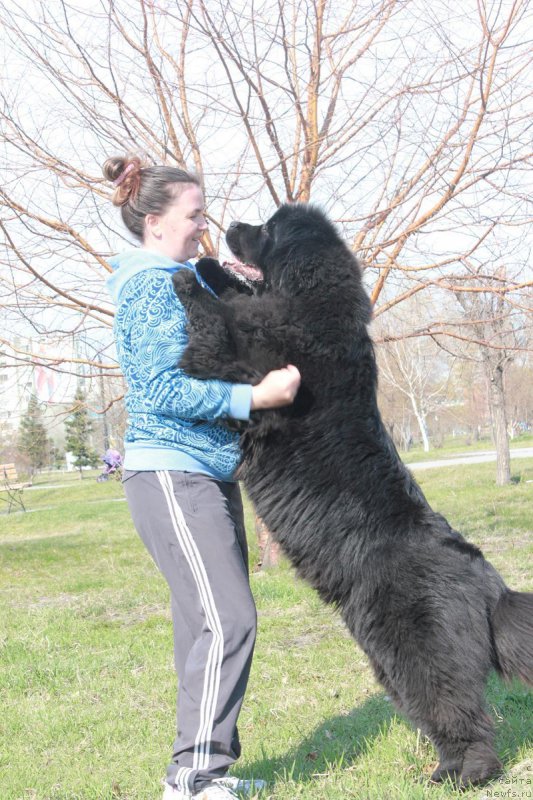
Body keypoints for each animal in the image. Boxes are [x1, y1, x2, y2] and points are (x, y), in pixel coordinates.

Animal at [172, 205, 528, 788]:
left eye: (267, 229)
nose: (229, 225)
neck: (313, 311)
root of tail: (490, 584)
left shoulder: (256, 373)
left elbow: (219, 329)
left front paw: (188, 281)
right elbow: (234, 301)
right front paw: (206, 268)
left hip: (419, 648)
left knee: (461, 714)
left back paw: (464, 774)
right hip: (391, 659)